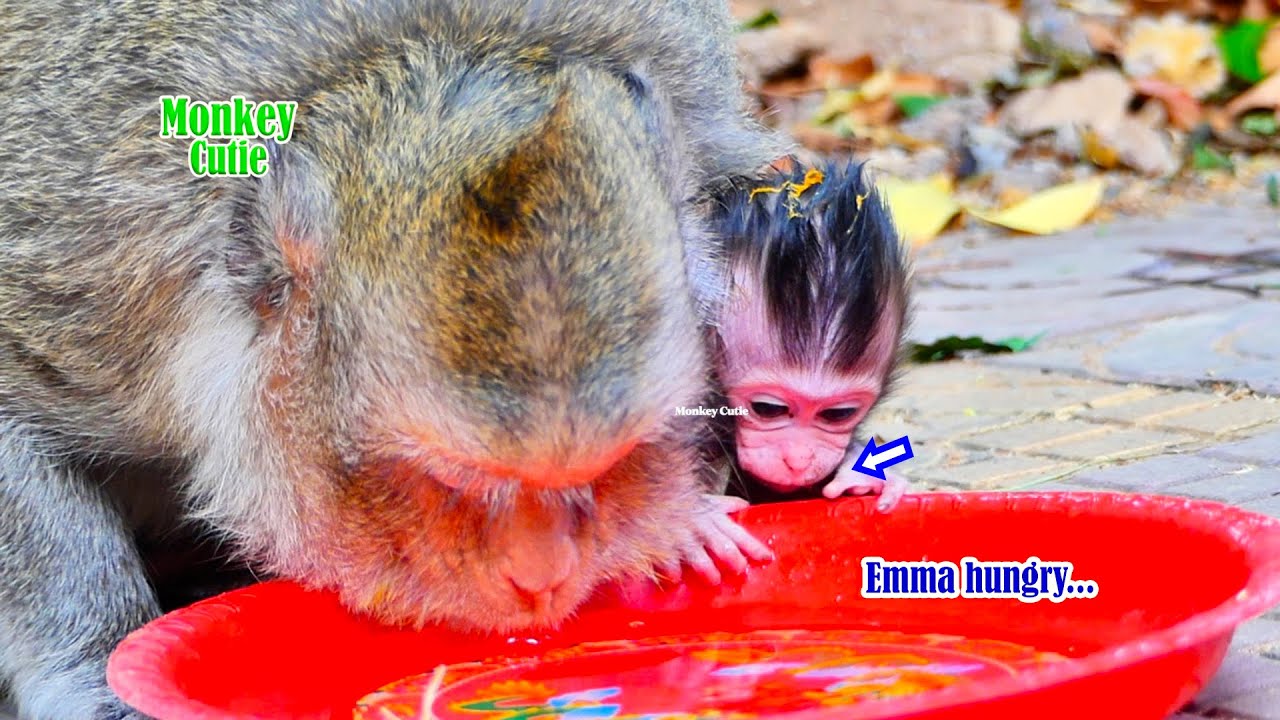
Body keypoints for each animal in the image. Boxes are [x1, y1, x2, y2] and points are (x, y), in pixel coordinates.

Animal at [0, 2, 785, 717]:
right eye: (452, 478)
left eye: (611, 465)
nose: (542, 580)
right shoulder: (92, 280)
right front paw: (101, 670)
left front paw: (679, 522)